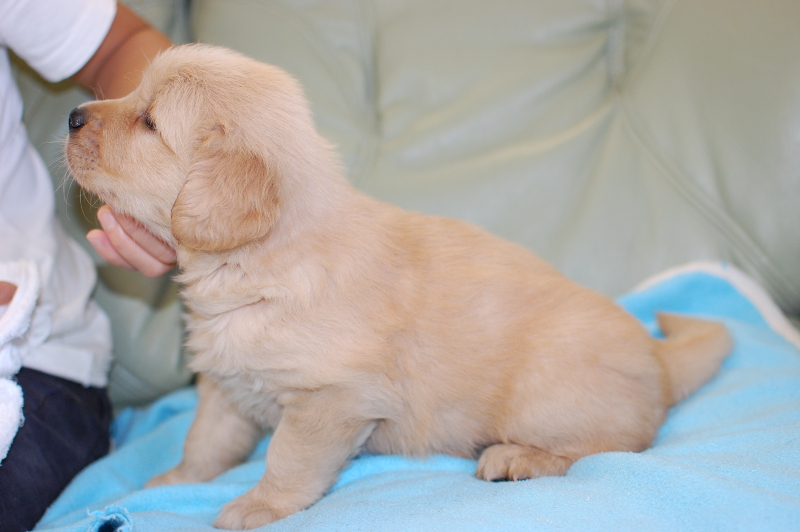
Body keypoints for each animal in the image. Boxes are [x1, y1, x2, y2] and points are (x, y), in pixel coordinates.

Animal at [67, 44, 732, 528]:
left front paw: (257, 506)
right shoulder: (227, 386)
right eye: (136, 96)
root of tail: (659, 359)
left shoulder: (329, 401)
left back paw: (515, 457)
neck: (258, 265)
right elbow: (205, 442)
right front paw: (175, 482)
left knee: (615, 447)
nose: (72, 116)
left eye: (150, 122)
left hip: (544, 394)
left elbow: (287, 460)